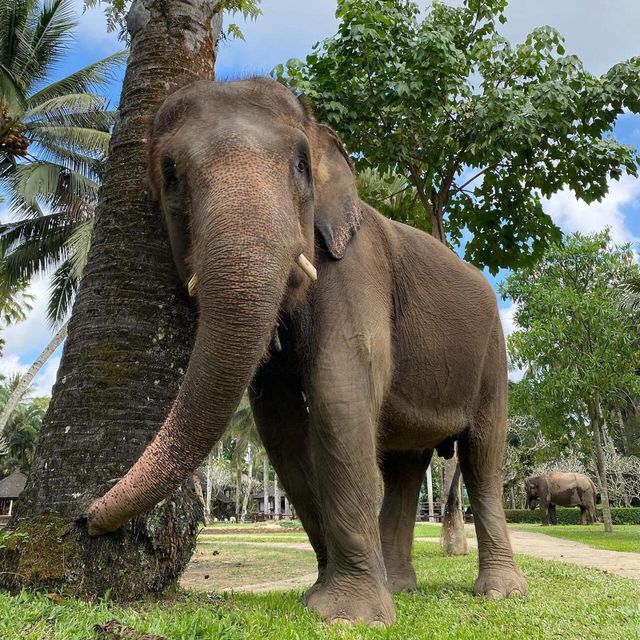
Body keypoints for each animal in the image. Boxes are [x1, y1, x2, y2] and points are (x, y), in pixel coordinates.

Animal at [87, 77, 528, 628]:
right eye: (171, 176)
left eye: (300, 164)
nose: (86, 518)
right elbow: (278, 424)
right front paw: (329, 594)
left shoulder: (356, 267)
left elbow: (338, 395)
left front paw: (348, 616)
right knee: (407, 465)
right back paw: (401, 586)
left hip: (493, 352)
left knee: (483, 455)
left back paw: (500, 593)